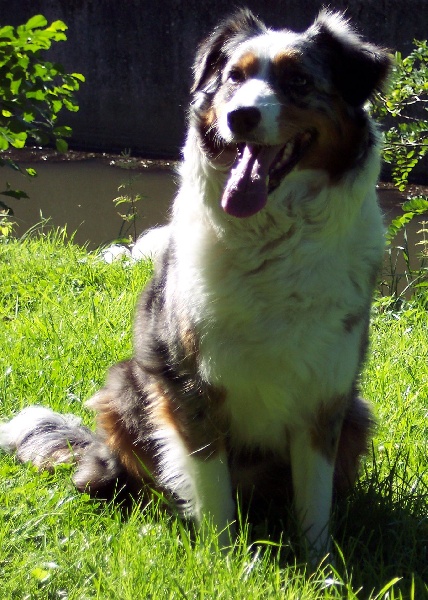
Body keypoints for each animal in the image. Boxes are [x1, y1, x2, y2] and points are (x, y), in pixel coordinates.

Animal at [0, 9, 392, 564]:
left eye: (298, 81)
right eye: (233, 77)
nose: (241, 117)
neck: (273, 236)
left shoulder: (328, 393)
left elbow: (314, 500)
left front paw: (321, 567)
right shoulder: (189, 386)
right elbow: (211, 490)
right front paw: (224, 564)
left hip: (359, 415)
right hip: (126, 388)